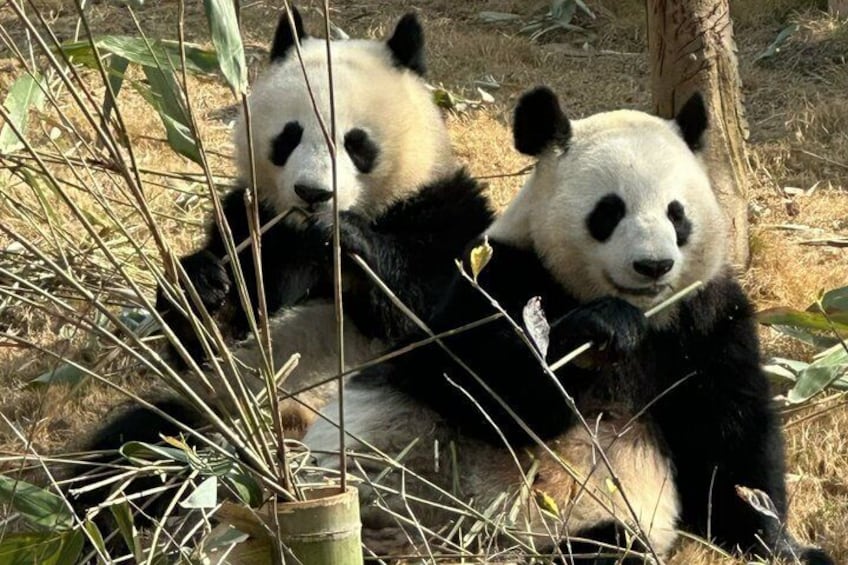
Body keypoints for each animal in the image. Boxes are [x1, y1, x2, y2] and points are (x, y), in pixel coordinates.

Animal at [156, 6, 492, 417]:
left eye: (356, 143)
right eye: (289, 136)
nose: (312, 193)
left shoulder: (447, 216)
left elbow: (447, 328)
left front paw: (346, 239)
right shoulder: (252, 224)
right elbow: (206, 351)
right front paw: (201, 282)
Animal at [302, 87, 834, 563]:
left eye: (677, 214)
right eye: (609, 211)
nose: (654, 265)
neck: (644, 314)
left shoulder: (706, 316)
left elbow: (731, 436)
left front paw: (782, 546)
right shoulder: (500, 275)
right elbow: (476, 388)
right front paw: (597, 332)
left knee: (608, 546)